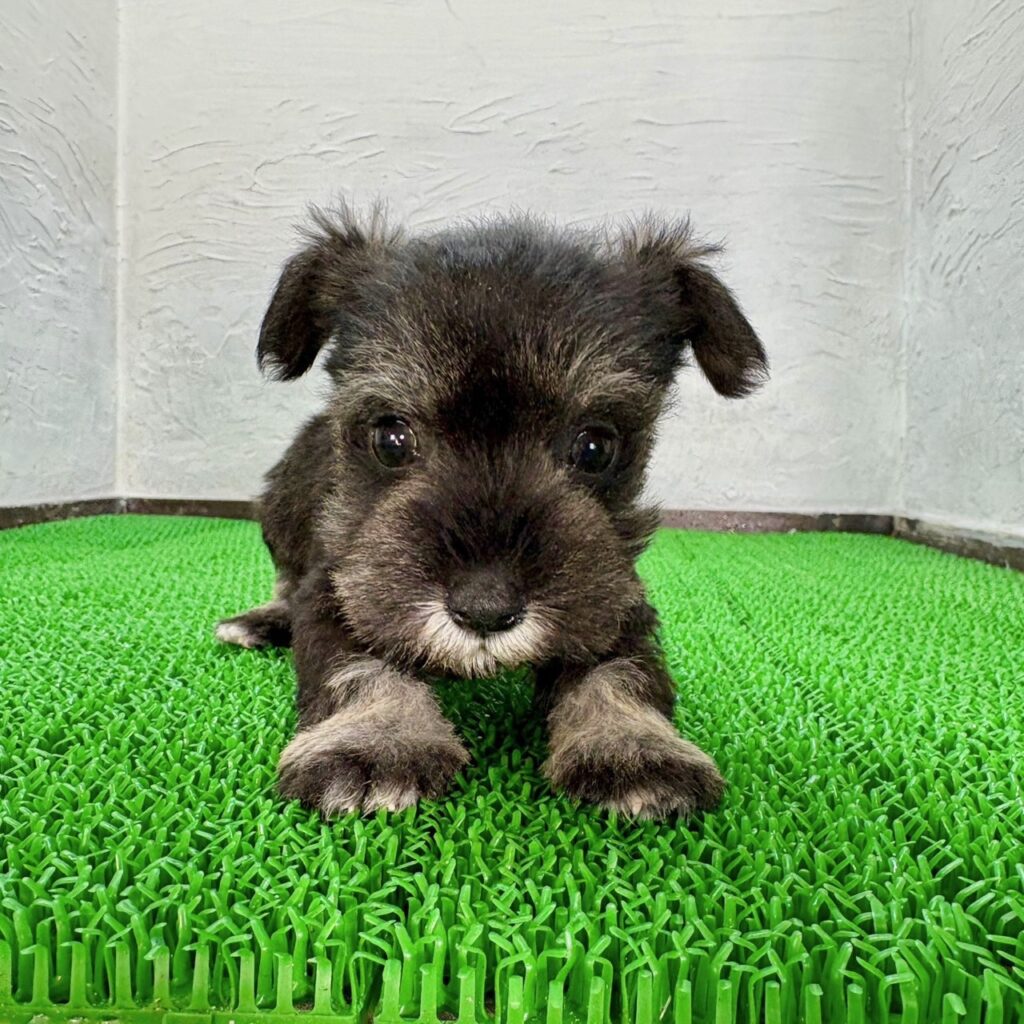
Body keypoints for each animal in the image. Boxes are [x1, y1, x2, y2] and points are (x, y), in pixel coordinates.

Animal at [216, 204, 766, 820]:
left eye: (595, 446)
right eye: (390, 438)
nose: (485, 609)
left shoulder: (615, 603)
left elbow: (623, 675)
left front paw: (635, 748)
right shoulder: (338, 590)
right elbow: (355, 667)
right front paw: (374, 743)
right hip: (283, 509)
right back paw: (257, 622)